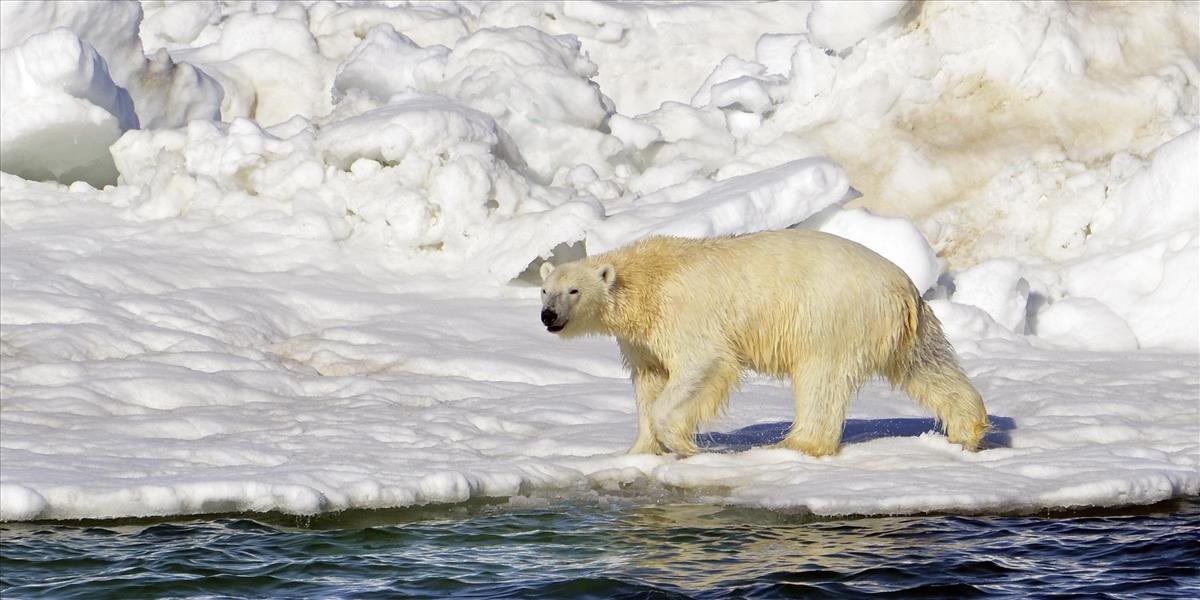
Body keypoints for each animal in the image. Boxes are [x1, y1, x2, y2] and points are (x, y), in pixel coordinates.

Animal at [540, 231, 988, 456]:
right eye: (545, 290)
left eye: (574, 290)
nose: (548, 316)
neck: (647, 279)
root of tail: (902, 287)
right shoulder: (642, 339)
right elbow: (649, 381)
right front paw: (640, 451)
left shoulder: (685, 313)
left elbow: (703, 364)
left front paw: (683, 444)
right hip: (905, 327)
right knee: (928, 367)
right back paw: (968, 430)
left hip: (831, 315)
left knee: (820, 379)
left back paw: (795, 444)